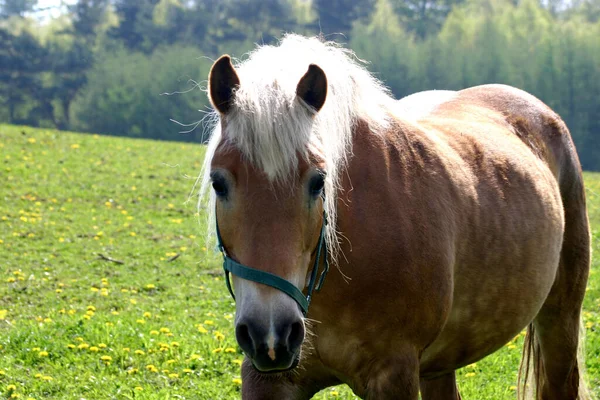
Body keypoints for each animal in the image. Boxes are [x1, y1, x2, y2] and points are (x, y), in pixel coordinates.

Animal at [199, 35, 592, 400]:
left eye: (318, 182)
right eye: (218, 182)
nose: (270, 334)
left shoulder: (394, 375)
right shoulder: (270, 378)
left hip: (560, 320)